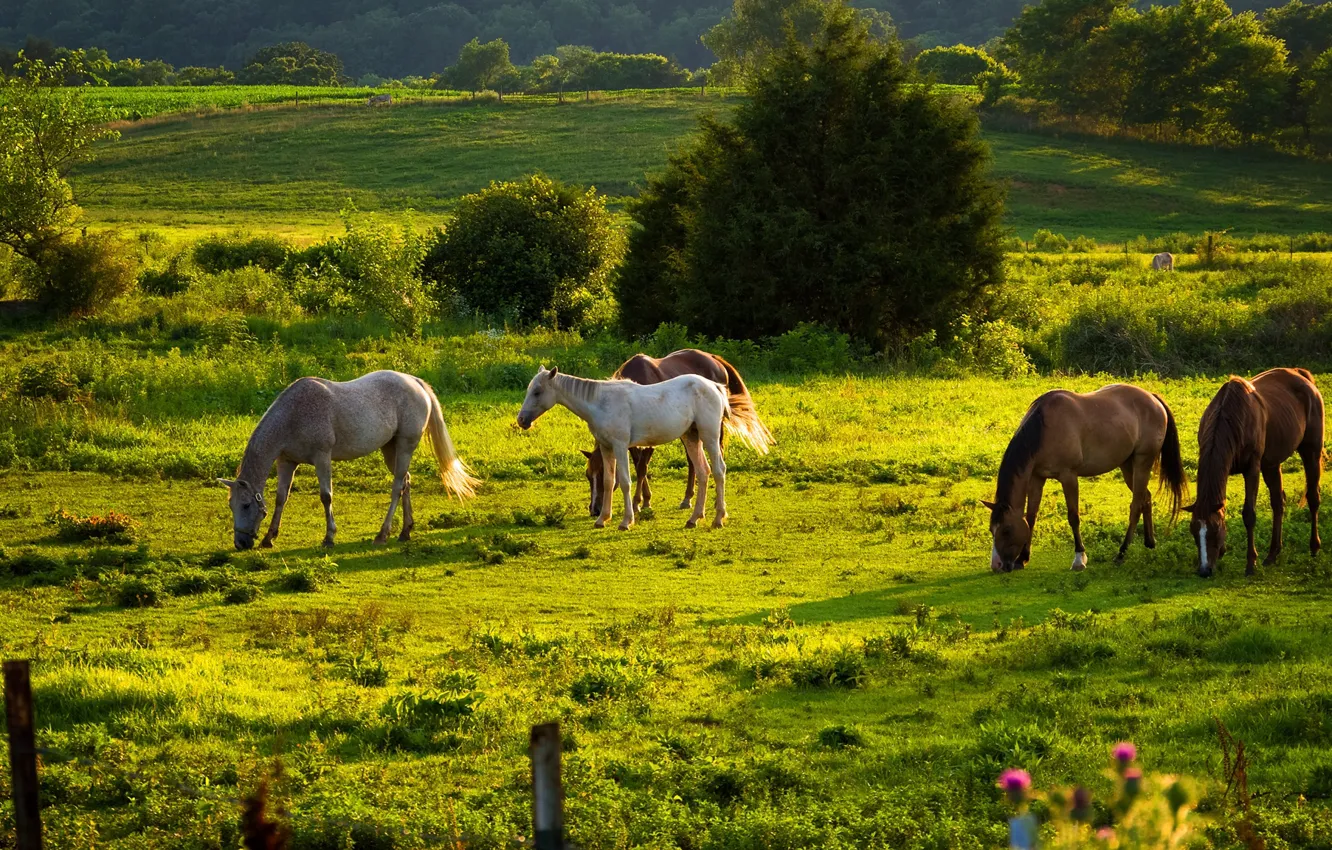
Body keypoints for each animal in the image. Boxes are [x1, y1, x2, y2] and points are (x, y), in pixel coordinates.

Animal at [222, 373, 479, 554]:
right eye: (231, 506)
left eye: (246, 505)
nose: (240, 543)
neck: (294, 415)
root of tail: (415, 382)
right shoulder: (287, 462)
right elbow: (280, 499)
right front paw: (269, 537)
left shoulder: (322, 457)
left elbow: (326, 496)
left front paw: (329, 537)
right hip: (390, 449)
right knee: (406, 481)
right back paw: (405, 531)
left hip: (406, 445)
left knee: (397, 486)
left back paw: (382, 535)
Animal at [514, 367, 756, 530]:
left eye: (537, 392)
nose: (522, 420)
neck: (600, 403)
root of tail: (714, 386)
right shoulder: (607, 448)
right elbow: (609, 481)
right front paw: (602, 519)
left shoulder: (621, 446)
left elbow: (625, 481)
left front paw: (626, 521)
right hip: (691, 436)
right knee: (703, 472)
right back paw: (694, 518)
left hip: (709, 436)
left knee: (719, 470)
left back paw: (718, 518)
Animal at [580, 349, 777, 519]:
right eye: (588, 476)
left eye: (602, 473)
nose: (594, 510)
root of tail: (714, 359)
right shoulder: (630, 440)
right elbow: (638, 466)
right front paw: (645, 499)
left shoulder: (649, 437)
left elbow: (642, 467)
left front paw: (638, 503)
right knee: (693, 461)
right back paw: (688, 498)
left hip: (713, 427)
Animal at [980, 383, 1188, 572]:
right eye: (991, 529)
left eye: (1006, 530)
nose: (997, 565)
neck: (1044, 429)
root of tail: (1154, 399)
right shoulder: (1037, 479)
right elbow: (1031, 517)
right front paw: (1022, 559)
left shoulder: (1068, 476)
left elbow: (1073, 516)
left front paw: (1079, 558)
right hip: (1128, 466)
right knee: (1146, 497)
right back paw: (1150, 542)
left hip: (1142, 462)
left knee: (1136, 505)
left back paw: (1121, 553)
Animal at [1188, 367, 1321, 580]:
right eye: (1193, 530)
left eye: (1214, 530)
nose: (1204, 570)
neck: (1231, 418)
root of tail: (1301, 375)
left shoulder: (1252, 468)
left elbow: (1249, 515)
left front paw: (1251, 563)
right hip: (1272, 465)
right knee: (1278, 503)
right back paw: (1273, 554)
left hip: (1311, 452)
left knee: (1313, 498)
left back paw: (1314, 547)